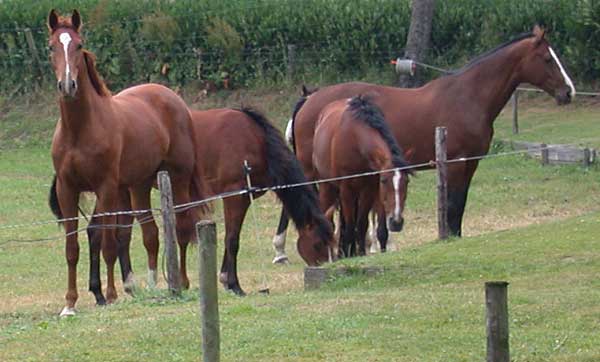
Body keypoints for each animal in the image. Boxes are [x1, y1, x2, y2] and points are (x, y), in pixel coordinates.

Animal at [47, 9, 197, 316]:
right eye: (51, 47)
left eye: (78, 45)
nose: (67, 85)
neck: (79, 130)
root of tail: (170, 96)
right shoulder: (68, 189)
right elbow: (72, 247)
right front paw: (70, 304)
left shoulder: (105, 188)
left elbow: (107, 242)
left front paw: (110, 295)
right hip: (139, 185)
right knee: (150, 232)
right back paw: (150, 285)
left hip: (177, 178)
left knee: (181, 226)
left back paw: (182, 281)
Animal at [190, 107, 332, 294]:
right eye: (317, 244)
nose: (323, 273)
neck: (254, 141)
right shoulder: (234, 197)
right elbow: (232, 240)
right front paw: (235, 285)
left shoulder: (245, 199)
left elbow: (232, 236)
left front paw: (225, 280)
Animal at [312, 94, 410, 256]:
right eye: (384, 180)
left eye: (407, 181)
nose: (396, 222)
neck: (354, 138)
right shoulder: (346, 189)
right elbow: (351, 227)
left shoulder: (369, 189)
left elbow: (362, 224)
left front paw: (362, 252)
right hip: (327, 186)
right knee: (331, 221)